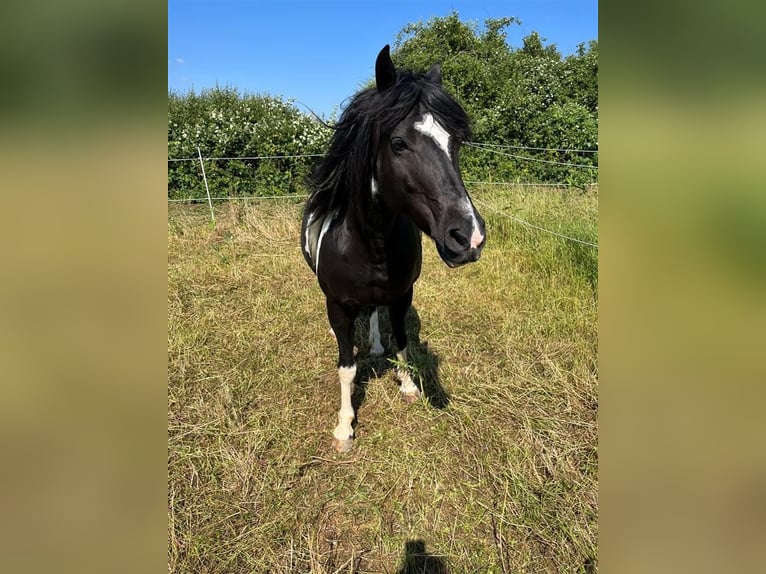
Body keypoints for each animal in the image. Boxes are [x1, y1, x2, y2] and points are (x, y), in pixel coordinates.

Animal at [300, 46, 486, 454]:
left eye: (455, 142)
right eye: (399, 144)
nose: (469, 237)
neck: (368, 241)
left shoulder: (402, 295)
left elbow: (402, 342)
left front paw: (409, 385)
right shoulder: (338, 305)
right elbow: (346, 368)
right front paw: (344, 427)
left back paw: (373, 345)